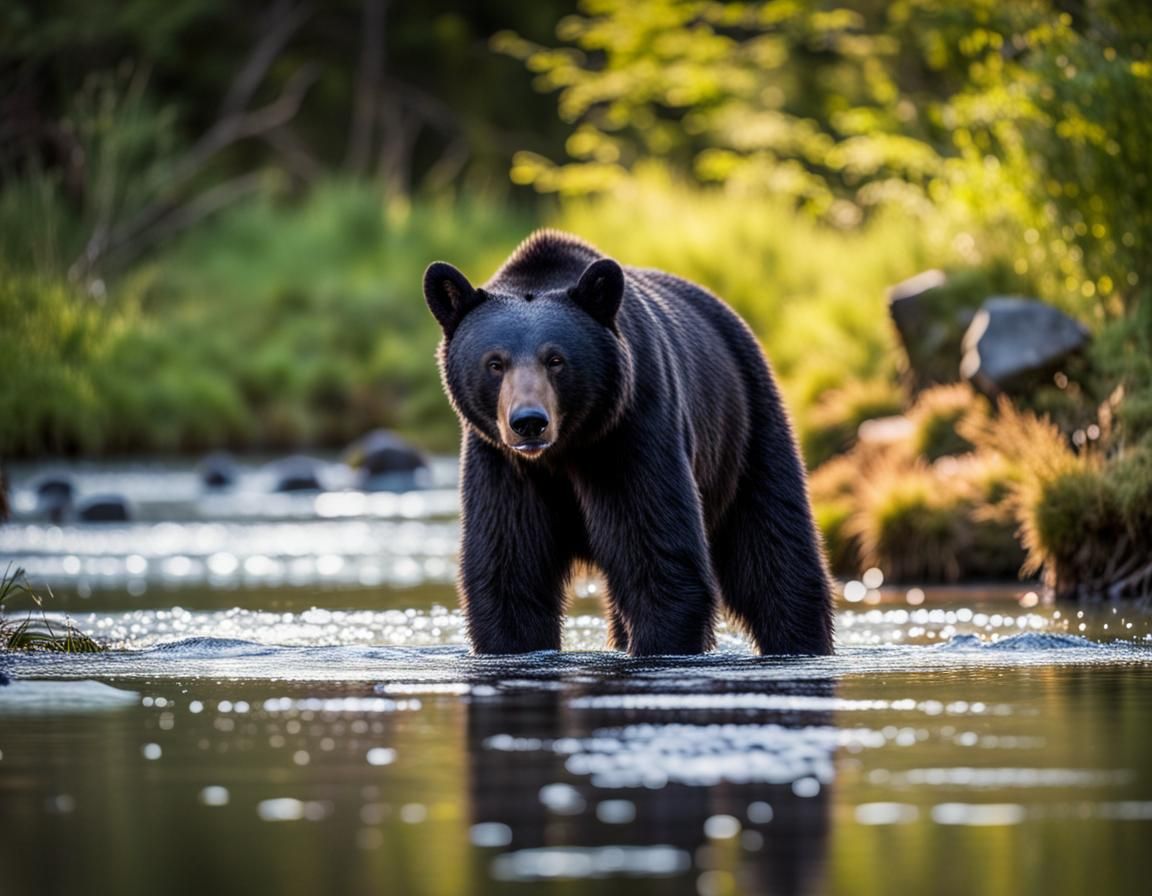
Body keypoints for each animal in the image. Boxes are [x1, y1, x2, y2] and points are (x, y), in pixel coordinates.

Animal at [424, 230, 833, 657]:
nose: (529, 422)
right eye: (495, 363)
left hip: (747, 427)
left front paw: (662, 644)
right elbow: (510, 570)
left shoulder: (632, 433)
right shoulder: (502, 465)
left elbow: (658, 555)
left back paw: (800, 640)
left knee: (773, 544)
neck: (565, 450)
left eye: (556, 359)